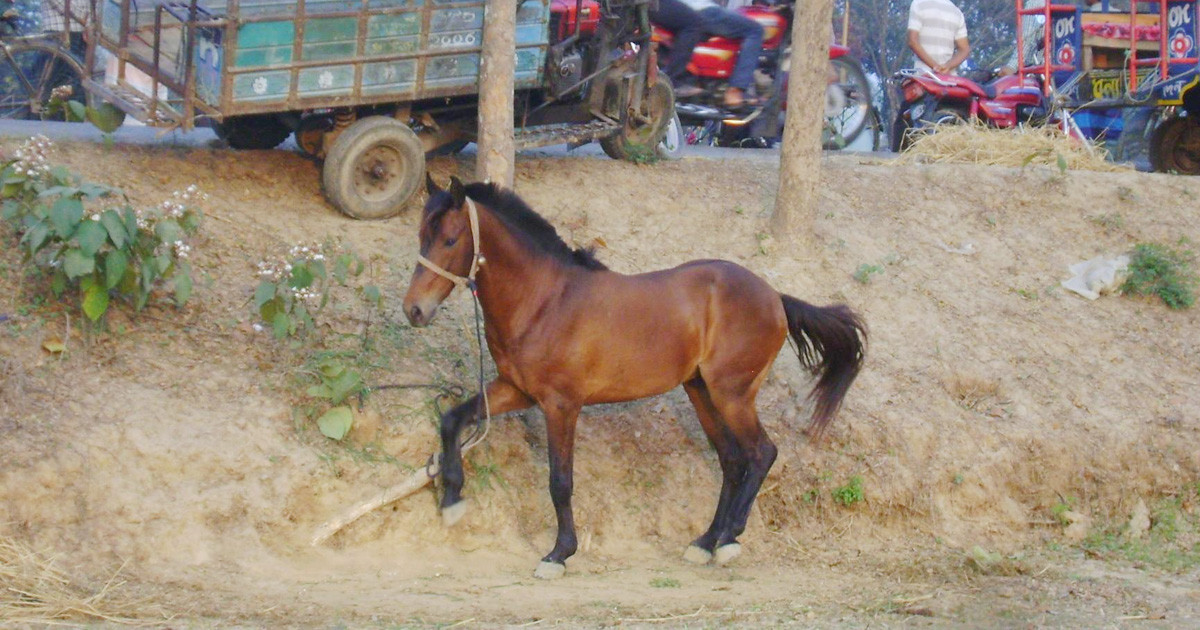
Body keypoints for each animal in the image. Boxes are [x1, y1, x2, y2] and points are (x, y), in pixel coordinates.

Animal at [400, 174, 864, 578]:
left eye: (450, 239)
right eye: (421, 235)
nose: (414, 311)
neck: (544, 300)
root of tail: (775, 298)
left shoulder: (561, 405)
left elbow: (560, 481)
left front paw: (559, 554)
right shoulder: (515, 390)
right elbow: (452, 420)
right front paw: (452, 501)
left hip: (732, 394)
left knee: (761, 453)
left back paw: (730, 540)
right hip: (701, 392)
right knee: (733, 461)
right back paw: (705, 542)